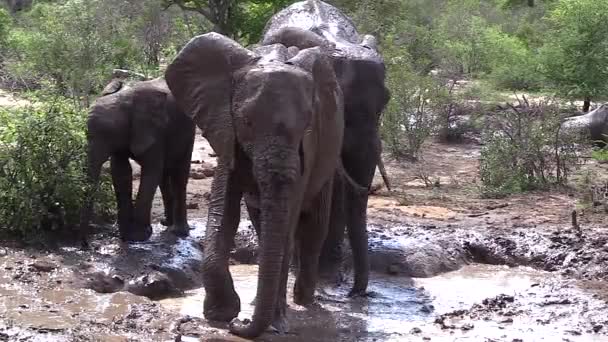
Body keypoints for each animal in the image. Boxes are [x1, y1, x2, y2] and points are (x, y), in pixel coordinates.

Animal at [77, 77, 194, 244]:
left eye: (108, 135)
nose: (85, 244)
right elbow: (120, 171)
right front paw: (125, 235)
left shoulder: (155, 131)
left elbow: (151, 171)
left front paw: (138, 236)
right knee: (164, 176)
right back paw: (166, 223)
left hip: (188, 129)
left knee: (179, 174)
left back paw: (179, 231)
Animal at [165, 32, 346, 340]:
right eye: (247, 122)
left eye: (307, 124)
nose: (240, 324)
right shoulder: (225, 129)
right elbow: (223, 212)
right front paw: (221, 314)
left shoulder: (307, 149)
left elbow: (287, 226)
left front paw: (273, 323)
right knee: (264, 223)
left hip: (329, 155)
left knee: (312, 226)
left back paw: (303, 300)